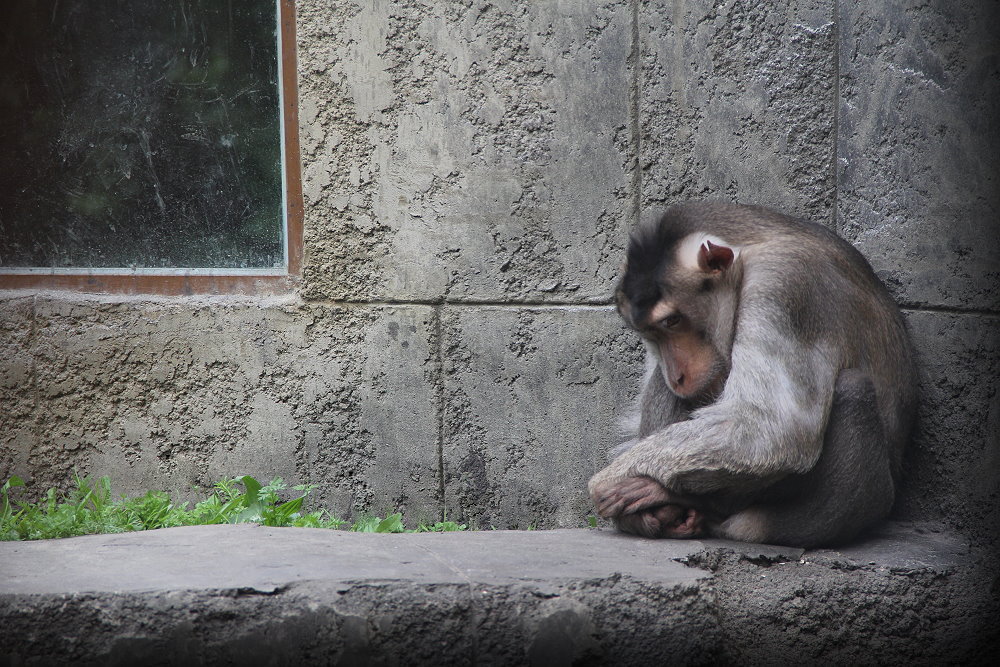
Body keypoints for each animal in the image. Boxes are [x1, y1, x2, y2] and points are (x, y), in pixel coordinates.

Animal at [588, 202, 916, 548]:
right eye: (651, 333)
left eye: (672, 321)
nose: (677, 374)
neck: (747, 254)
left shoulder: (782, 285)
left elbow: (773, 430)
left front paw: (613, 479)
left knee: (854, 388)